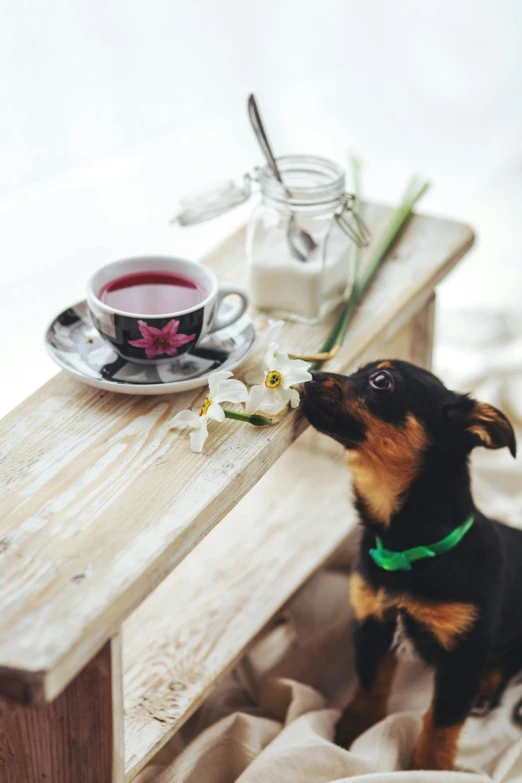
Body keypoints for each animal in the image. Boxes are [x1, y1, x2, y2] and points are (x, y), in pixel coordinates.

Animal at [300, 362, 516, 772]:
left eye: (381, 381)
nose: (310, 374)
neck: (409, 549)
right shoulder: (371, 624)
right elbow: (371, 684)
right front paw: (352, 731)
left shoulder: (464, 655)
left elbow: (442, 721)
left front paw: (428, 768)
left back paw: (486, 690)